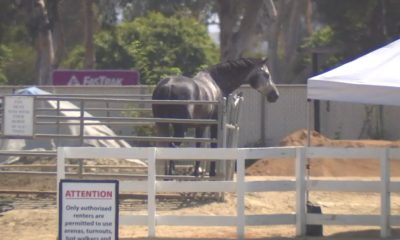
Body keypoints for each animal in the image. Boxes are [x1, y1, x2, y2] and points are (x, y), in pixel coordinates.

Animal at [152, 58, 280, 176]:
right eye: (266, 75)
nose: (275, 95)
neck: (218, 83)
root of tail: (168, 86)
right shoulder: (214, 125)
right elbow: (214, 146)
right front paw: (212, 173)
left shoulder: (200, 126)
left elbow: (199, 146)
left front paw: (196, 172)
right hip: (180, 129)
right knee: (171, 147)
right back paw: (170, 174)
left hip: (162, 125)